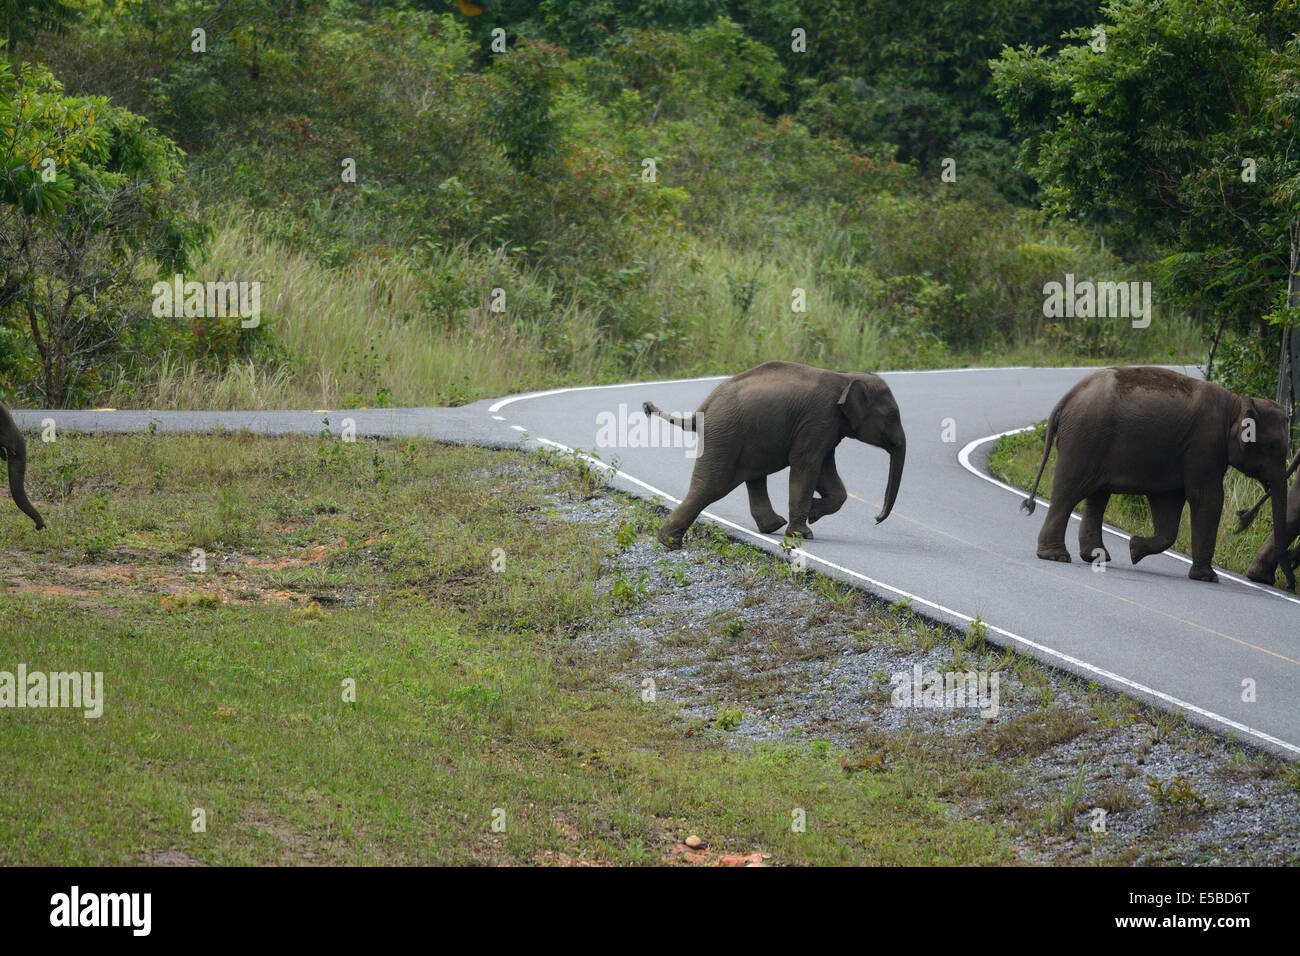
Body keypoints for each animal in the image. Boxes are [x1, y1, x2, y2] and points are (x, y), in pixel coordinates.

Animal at [642, 360, 906, 549]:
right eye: (892, 415)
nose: (876, 518)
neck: (847, 377)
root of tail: (703, 408)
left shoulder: (826, 428)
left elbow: (824, 470)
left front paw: (812, 512)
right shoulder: (818, 420)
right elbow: (807, 465)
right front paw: (803, 533)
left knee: (753, 478)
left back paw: (772, 526)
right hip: (724, 436)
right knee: (710, 486)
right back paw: (670, 543)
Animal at [1022, 366, 1295, 590]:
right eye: (1272, 446)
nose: (1291, 584)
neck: (1237, 402)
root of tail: (1066, 398)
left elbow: (1168, 505)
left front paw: (1134, 549)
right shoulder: (1205, 445)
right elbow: (1208, 498)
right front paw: (1208, 578)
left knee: (1096, 496)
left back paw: (1097, 557)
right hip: (1084, 438)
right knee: (1069, 491)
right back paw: (1056, 557)